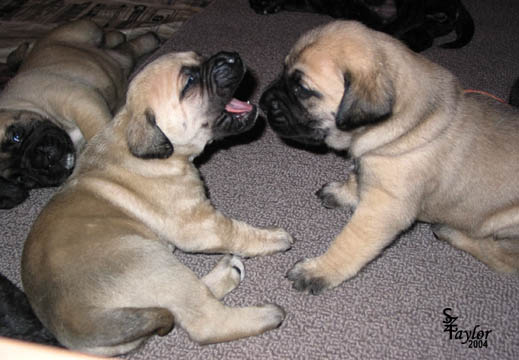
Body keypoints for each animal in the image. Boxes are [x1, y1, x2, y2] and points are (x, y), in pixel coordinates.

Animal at [0, 19, 159, 210]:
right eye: (20, 179)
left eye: (17, 135)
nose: (43, 161)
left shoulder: (78, 100)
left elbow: (96, 131)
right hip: (117, 57)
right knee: (128, 48)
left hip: (86, 28)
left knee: (110, 38)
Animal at [21, 51, 292, 358]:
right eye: (189, 82)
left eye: (200, 57)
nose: (231, 56)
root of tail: (79, 323)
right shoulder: (200, 225)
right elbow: (237, 231)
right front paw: (272, 237)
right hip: (151, 259)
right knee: (204, 320)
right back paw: (266, 313)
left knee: (180, 306)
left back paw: (228, 271)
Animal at [262, 20, 519, 296]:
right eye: (283, 71)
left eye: (302, 89)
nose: (263, 101)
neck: (410, 125)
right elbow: (358, 177)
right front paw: (344, 193)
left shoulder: (385, 208)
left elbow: (351, 242)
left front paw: (318, 270)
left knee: (504, 258)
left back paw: (450, 231)